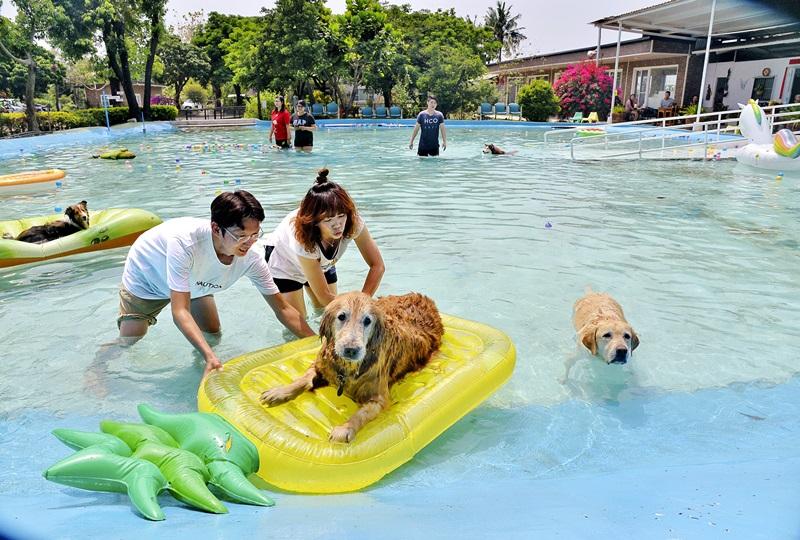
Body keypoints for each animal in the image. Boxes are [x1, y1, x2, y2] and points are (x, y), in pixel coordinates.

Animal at [260, 294, 444, 440]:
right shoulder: (320, 366)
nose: (351, 349)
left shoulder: (379, 397)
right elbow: (301, 380)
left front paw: (344, 428)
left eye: (367, 320)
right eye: (341, 316)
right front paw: (279, 392)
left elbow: (361, 414)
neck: (347, 369)